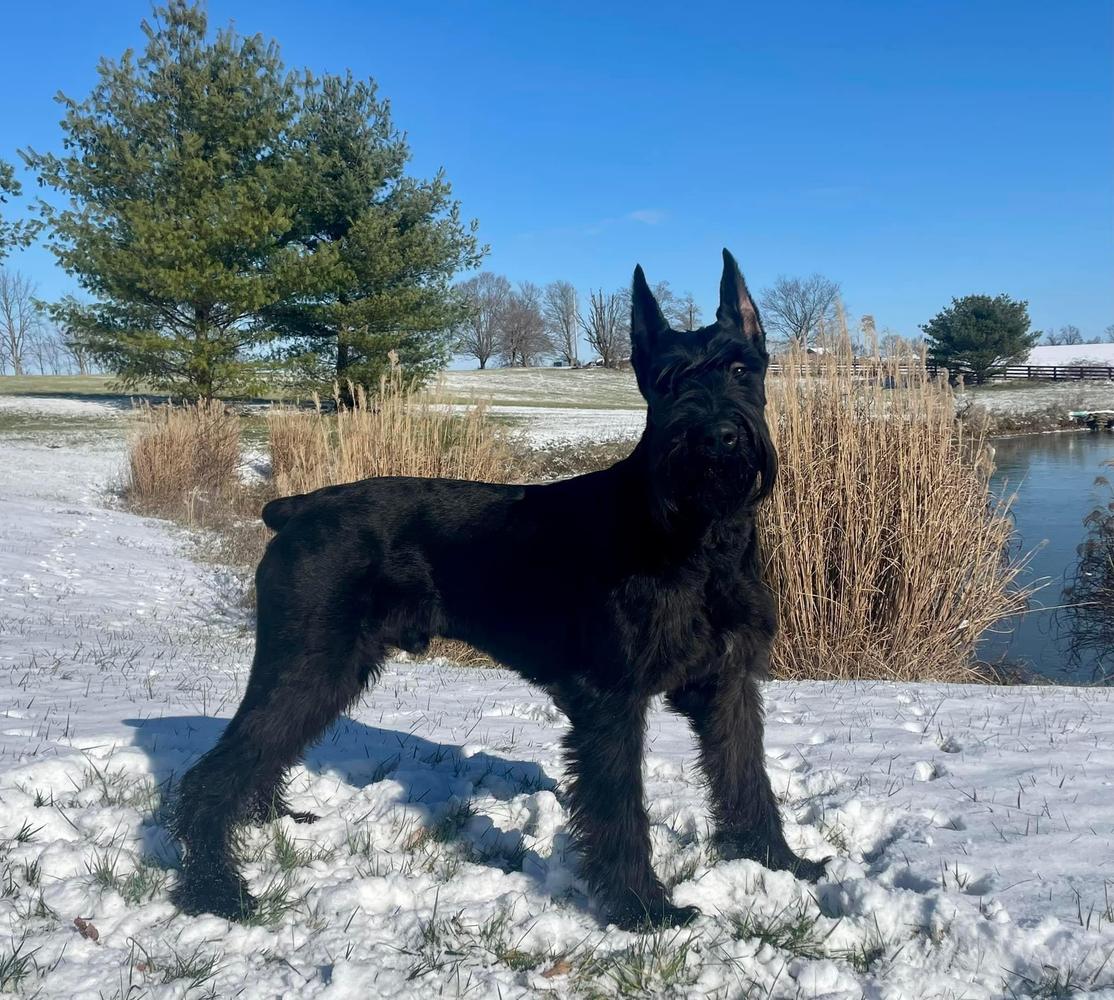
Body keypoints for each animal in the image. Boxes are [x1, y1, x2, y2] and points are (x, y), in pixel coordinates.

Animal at [171, 249, 828, 926]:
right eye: (668, 381)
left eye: (741, 368)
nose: (717, 437)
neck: (699, 537)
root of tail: (294, 507)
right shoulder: (612, 696)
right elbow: (621, 809)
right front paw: (642, 909)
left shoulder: (728, 682)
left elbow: (747, 778)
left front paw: (782, 863)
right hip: (308, 662)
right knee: (213, 773)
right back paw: (215, 889)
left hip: (328, 670)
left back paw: (267, 825)